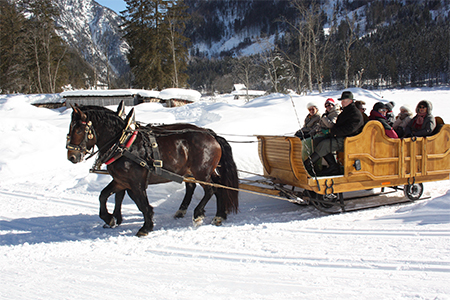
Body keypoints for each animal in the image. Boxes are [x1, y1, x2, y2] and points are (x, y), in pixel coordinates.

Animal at [66, 104, 239, 236]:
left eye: (79, 130)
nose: (72, 156)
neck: (123, 144)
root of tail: (210, 134)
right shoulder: (121, 181)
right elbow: (104, 196)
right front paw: (110, 219)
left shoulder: (136, 183)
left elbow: (141, 204)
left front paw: (145, 227)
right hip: (201, 172)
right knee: (218, 187)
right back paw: (218, 215)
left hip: (201, 172)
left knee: (211, 189)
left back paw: (198, 214)